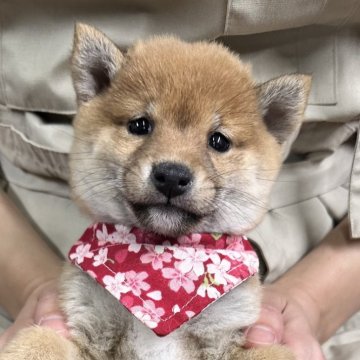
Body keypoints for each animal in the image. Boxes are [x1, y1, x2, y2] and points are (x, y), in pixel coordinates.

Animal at [0, 24, 310, 360]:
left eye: (218, 141)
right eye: (140, 125)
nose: (172, 176)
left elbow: (276, 353)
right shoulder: (90, 324)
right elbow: (38, 340)